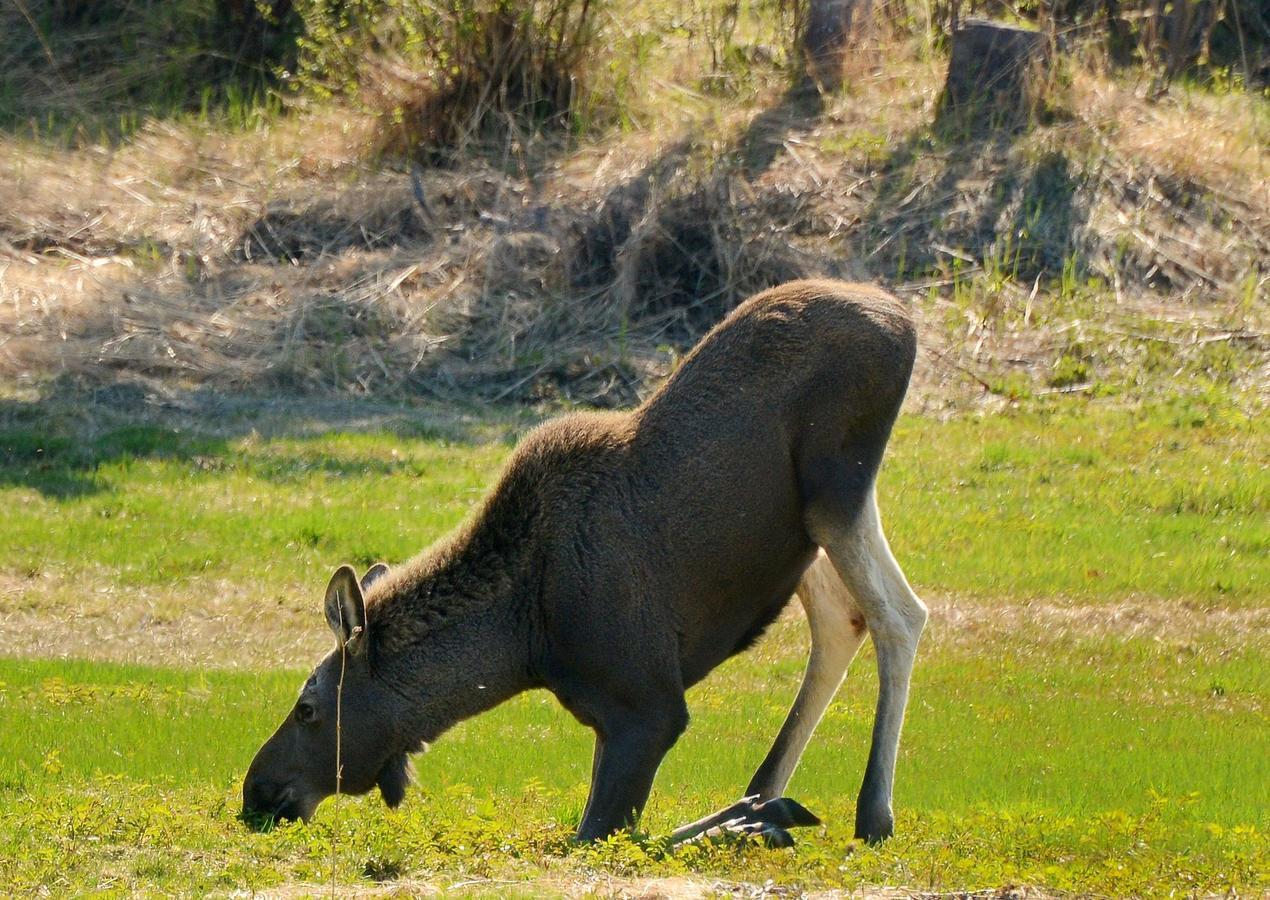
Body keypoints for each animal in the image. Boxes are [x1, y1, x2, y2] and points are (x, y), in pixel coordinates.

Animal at [242, 276, 929, 847]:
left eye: (307, 708)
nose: (255, 792)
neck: (524, 639)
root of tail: (905, 321)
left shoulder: (650, 708)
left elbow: (605, 836)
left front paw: (753, 823)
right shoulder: (608, 721)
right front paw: (755, 814)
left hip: (836, 486)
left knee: (900, 614)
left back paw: (867, 814)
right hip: (806, 531)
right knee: (842, 620)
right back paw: (766, 789)